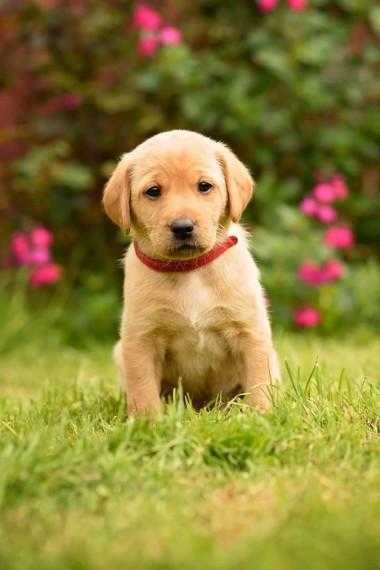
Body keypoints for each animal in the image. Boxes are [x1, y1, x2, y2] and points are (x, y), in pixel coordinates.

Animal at [102, 129, 280, 414]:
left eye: (204, 186)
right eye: (153, 191)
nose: (182, 227)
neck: (190, 269)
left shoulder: (250, 332)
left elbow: (258, 381)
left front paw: (260, 413)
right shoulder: (140, 340)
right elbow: (142, 387)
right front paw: (147, 420)